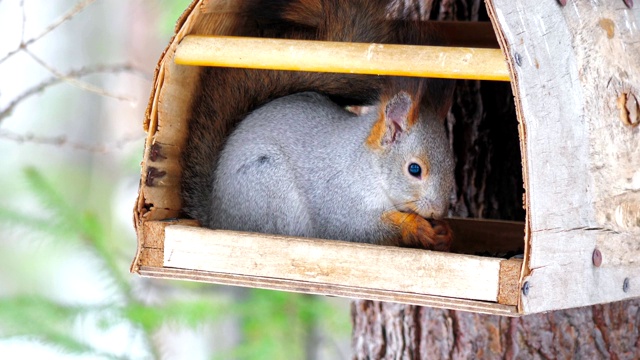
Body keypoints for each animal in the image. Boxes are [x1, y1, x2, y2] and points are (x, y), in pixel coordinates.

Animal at [181, 0, 456, 249]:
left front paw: (444, 231)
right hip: (269, 182)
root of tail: (215, 216)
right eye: (414, 169)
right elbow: (357, 228)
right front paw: (414, 226)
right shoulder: (339, 199)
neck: (366, 166)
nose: (438, 211)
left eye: (452, 165)